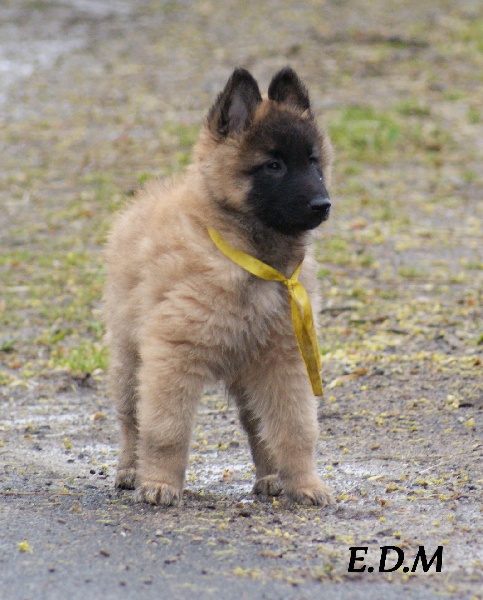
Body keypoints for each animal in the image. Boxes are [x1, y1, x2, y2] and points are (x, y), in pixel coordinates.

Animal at [104, 67, 334, 507]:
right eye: (273, 165)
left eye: (312, 161)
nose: (323, 205)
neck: (249, 257)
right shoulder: (172, 355)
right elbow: (165, 429)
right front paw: (160, 484)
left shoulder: (283, 358)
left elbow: (295, 427)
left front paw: (305, 484)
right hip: (129, 358)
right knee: (130, 420)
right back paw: (130, 470)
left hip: (248, 376)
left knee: (257, 425)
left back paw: (270, 477)